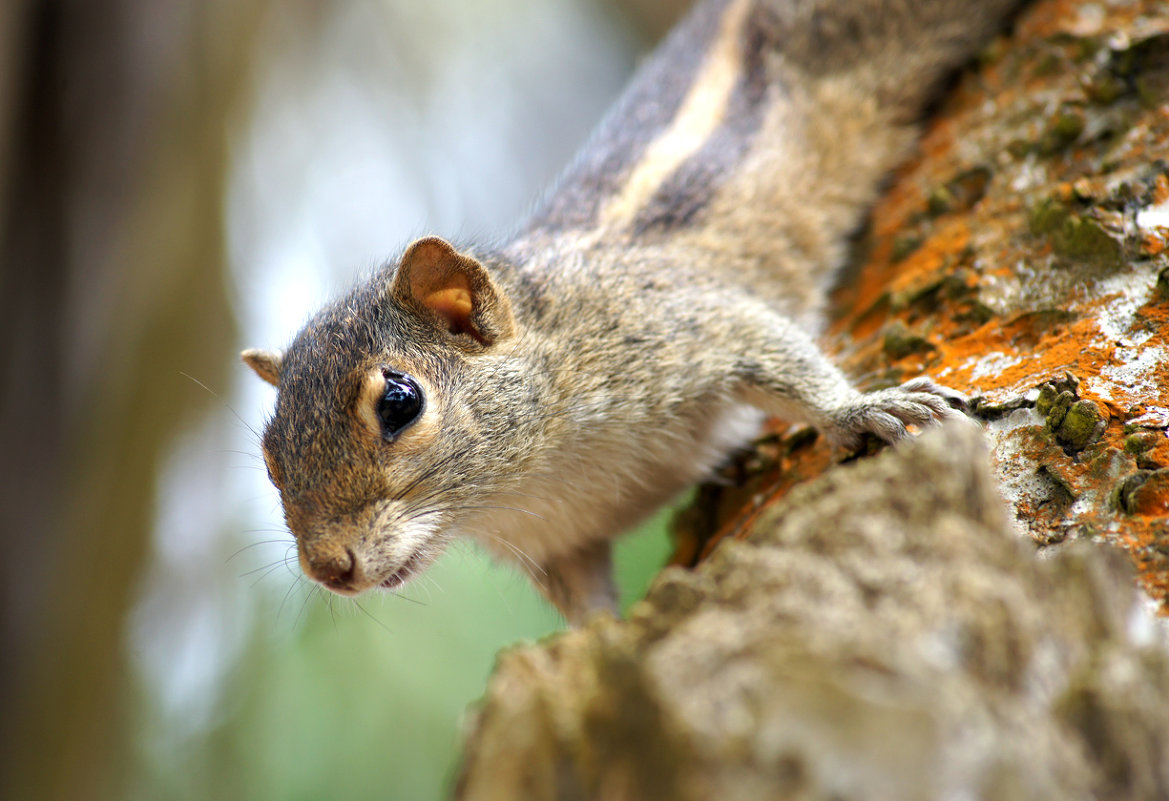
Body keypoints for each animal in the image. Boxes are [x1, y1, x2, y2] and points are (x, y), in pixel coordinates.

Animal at [241, 0, 1019, 622]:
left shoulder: (684, 322)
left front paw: (864, 409)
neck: (527, 483)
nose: (328, 567)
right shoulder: (562, 545)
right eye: (270, 460)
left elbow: (781, 354)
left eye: (399, 403)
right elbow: (587, 611)